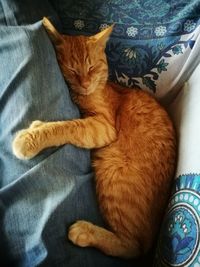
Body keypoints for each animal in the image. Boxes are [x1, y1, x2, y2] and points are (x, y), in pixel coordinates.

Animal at [11, 17, 176, 260]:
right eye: (71, 69)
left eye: (91, 67)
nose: (85, 84)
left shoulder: (102, 127)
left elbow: (68, 126)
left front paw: (32, 137)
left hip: (113, 176)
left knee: (131, 247)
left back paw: (85, 232)